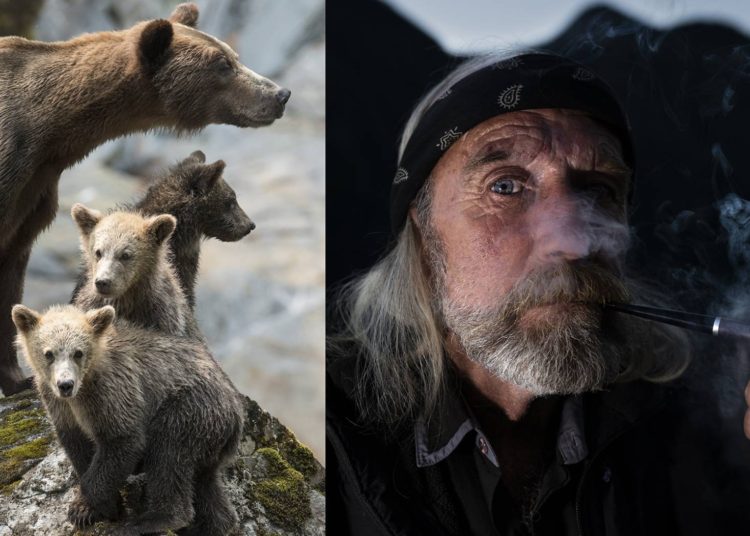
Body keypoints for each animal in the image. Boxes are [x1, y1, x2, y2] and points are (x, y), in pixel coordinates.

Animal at [12, 303, 244, 535]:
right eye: (48, 353)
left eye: (78, 353)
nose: (65, 384)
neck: (83, 389)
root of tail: (236, 410)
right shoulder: (59, 406)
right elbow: (77, 447)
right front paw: (92, 508)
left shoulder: (113, 391)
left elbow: (122, 440)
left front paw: (91, 507)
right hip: (210, 437)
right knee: (204, 481)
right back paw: (215, 523)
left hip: (187, 408)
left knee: (168, 457)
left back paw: (154, 519)